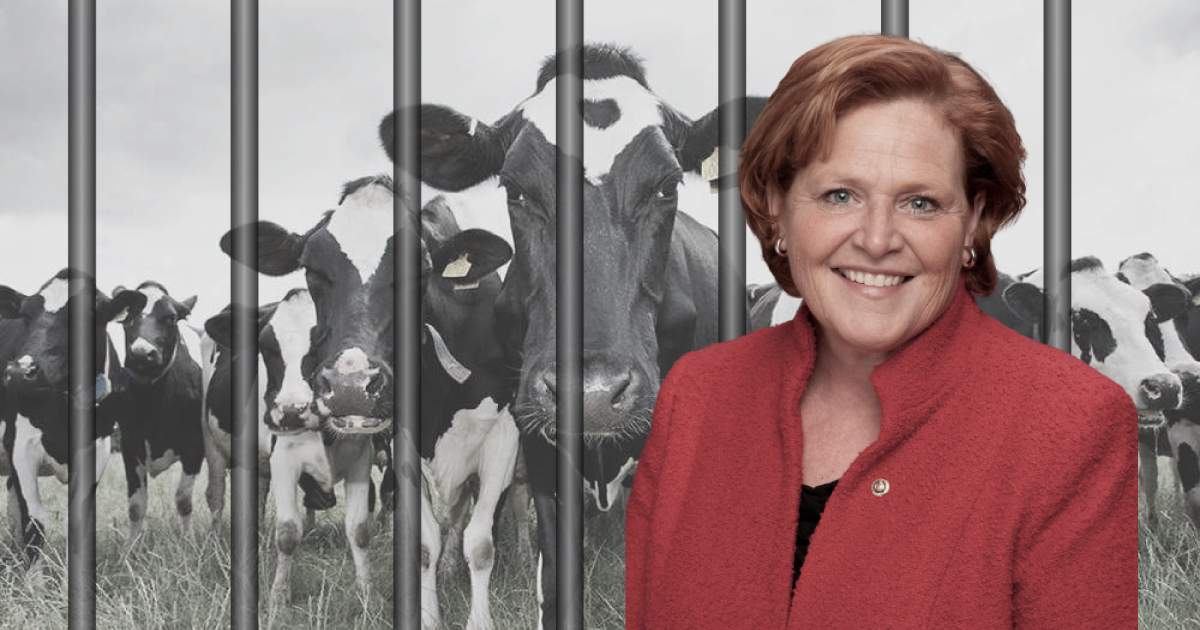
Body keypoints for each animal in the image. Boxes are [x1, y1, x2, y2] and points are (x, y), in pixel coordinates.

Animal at [0, 266, 145, 564]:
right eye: (25, 316)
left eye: (85, 317)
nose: (20, 371)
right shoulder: (19, 446)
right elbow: (35, 523)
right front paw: (34, 576)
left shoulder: (98, 449)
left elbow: (79, 519)